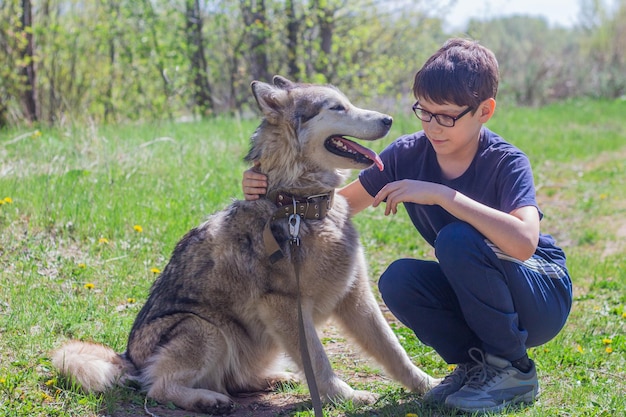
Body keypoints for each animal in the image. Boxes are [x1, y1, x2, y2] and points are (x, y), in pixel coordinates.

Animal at [51, 75, 436, 412]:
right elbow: (320, 362)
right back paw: (207, 400)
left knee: (235, 380)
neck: (300, 207)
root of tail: (129, 357)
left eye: (349, 102)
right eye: (337, 107)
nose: (388, 119)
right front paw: (346, 397)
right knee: (158, 387)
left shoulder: (356, 297)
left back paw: (274, 379)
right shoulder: (285, 306)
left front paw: (429, 386)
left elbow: (394, 351)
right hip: (206, 329)